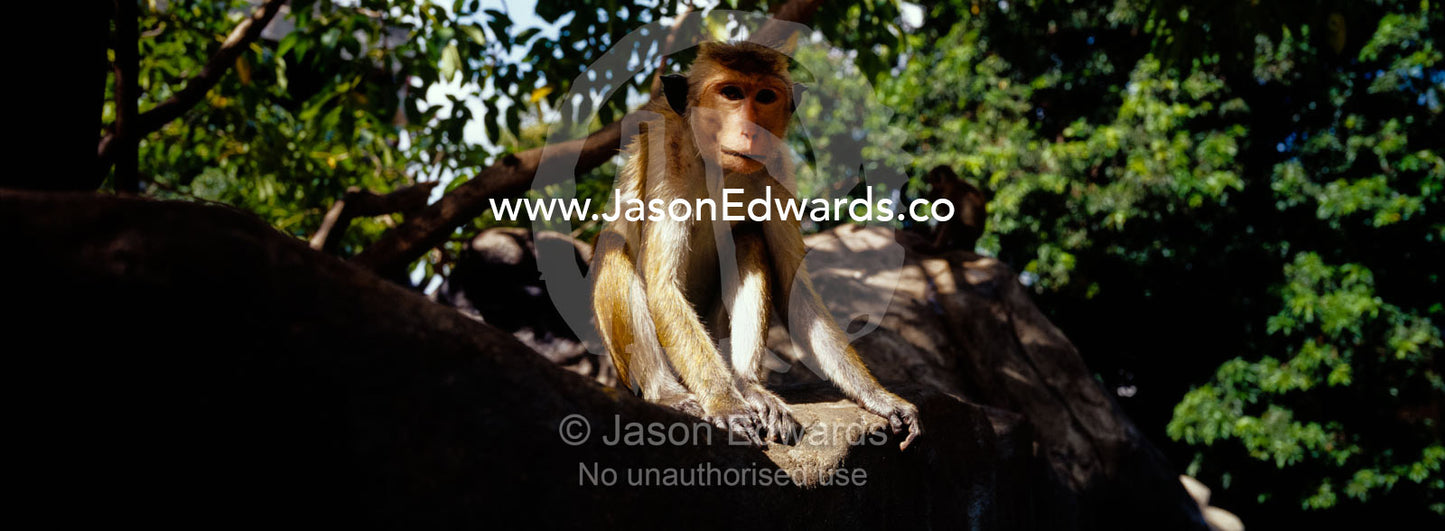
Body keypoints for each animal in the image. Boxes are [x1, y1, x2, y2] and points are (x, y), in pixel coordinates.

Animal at [589, 41, 920, 449]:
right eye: (731, 93)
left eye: (764, 96)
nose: (750, 130)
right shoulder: (667, 158)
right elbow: (663, 284)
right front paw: (725, 403)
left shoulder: (777, 169)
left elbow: (794, 286)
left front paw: (878, 396)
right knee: (614, 250)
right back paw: (668, 392)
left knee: (747, 238)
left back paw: (748, 385)